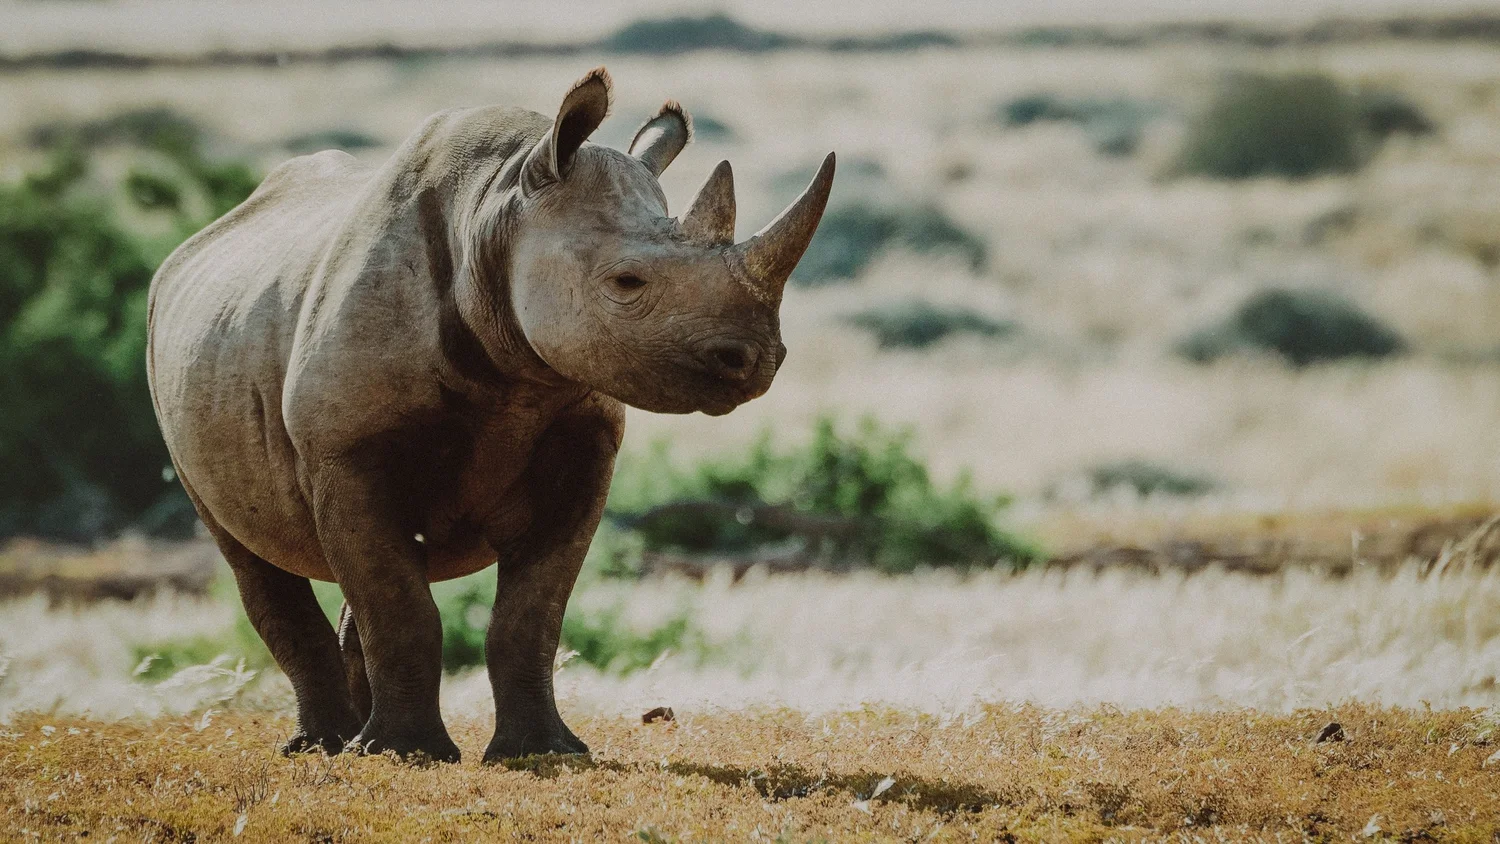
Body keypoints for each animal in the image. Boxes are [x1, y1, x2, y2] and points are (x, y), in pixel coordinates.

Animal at [147, 67, 834, 763]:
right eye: (626, 283)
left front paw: (542, 752)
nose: (758, 359)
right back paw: (325, 746)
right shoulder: (344, 447)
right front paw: (408, 754)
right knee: (249, 555)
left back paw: (350, 738)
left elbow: (530, 613)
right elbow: (400, 606)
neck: (497, 209)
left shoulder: (583, 442)